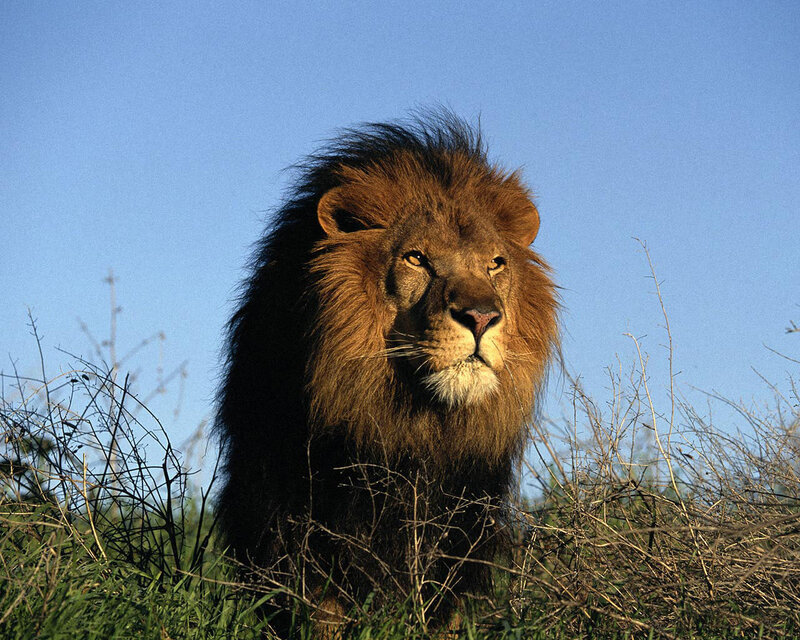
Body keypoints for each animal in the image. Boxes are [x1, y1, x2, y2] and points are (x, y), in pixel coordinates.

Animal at [215, 112, 558, 636]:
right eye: (417, 258)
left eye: (495, 264)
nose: (482, 317)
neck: (412, 423)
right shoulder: (305, 519)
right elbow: (322, 610)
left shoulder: (461, 525)